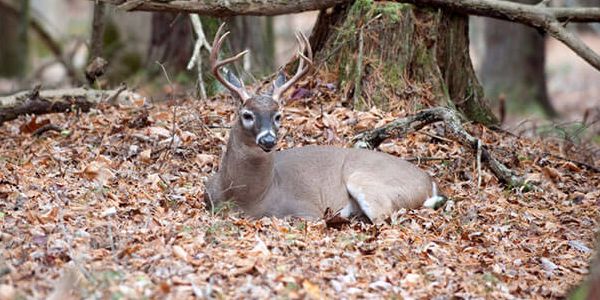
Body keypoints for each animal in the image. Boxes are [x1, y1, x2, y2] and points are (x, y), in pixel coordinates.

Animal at [203, 24, 440, 223]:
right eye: (247, 115)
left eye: (278, 115)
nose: (268, 140)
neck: (249, 197)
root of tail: (430, 181)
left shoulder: (306, 209)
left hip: (369, 182)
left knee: (384, 218)